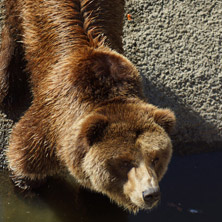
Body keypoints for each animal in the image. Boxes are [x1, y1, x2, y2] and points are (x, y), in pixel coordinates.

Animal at [0, 0, 175, 213]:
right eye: (124, 161)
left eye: (156, 158)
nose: (150, 194)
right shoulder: (50, 119)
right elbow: (24, 155)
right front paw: (28, 187)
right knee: (13, 29)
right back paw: (8, 90)